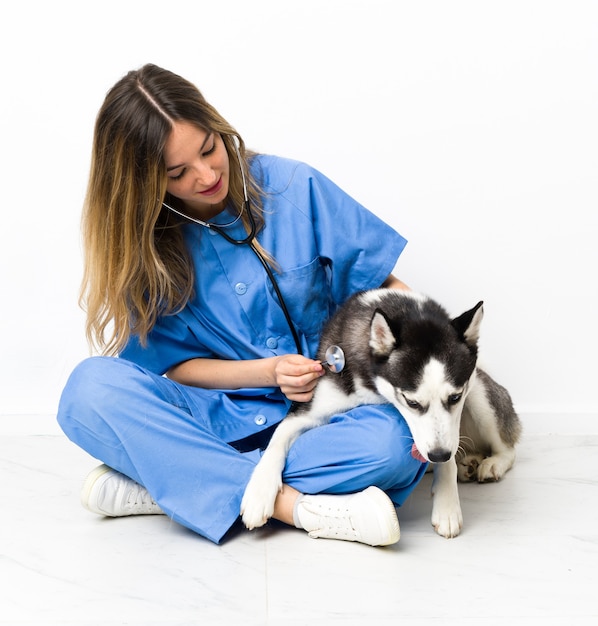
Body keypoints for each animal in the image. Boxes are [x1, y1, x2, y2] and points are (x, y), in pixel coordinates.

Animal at [241, 288, 524, 536]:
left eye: (455, 397)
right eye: (411, 402)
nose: (439, 455)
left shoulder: (456, 411)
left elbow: (448, 458)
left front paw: (447, 505)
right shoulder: (307, 410)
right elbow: (276, 441)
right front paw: (258, 494)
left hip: (480, 393)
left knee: (507, 448)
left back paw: (490, 463)